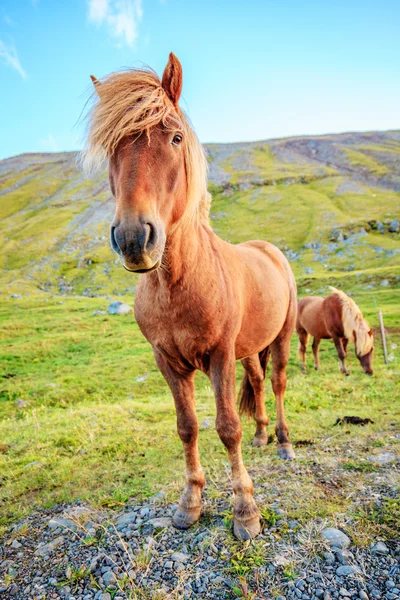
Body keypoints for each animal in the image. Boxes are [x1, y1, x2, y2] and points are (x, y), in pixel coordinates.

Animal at [83, 52, 296, 540]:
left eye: (175, 137)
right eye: (111, 147)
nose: (133, 238)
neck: (177, 285)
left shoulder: (219, 355)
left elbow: (226, 426)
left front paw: (245, 511)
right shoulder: (168, 361)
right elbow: (187, 427)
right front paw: (191, 502)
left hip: (282, 337)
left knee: (276, 383)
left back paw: (282, 441)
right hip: (248, 349)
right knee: (258, 383)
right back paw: (262, 436)